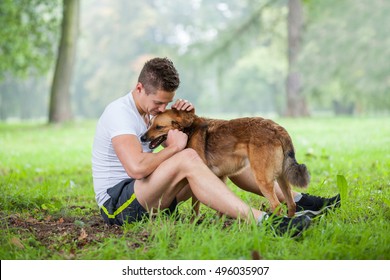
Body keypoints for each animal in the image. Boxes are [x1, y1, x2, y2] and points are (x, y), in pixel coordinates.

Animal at [142, 109, 310, 217]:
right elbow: (220, 210)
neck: (187, 131)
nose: (142, 137)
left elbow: (195, 208)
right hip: (282, 179)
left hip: (263, 179)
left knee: (277, 207)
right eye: (150, 124)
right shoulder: (220, 177)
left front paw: (193, 223)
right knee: (291, 204)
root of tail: (277, 128)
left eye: (158, 127)